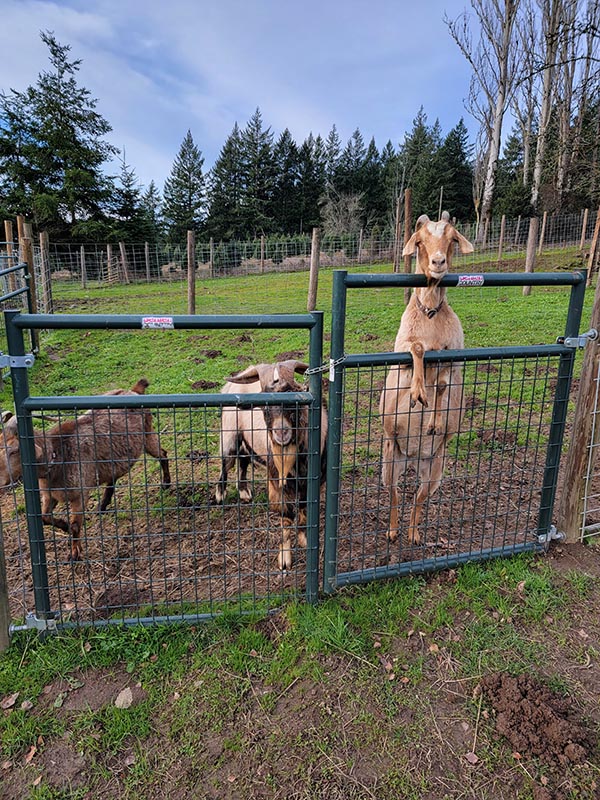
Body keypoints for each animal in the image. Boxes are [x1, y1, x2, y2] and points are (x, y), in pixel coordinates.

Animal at [0, 378, 171, 560]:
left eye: (14, 450)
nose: (1, 480)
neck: (58, 455)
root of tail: (135, 390)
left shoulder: (80, 494)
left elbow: (76, 525)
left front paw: (75, 552)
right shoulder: (49, 495)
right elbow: (45, 518)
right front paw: (64, 526)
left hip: (147, 435)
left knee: (163, 454)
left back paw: (166, 484)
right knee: (113, 477)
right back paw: (102, 505)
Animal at [214, 360, 327, 570]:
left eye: (295, 399)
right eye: (263, 405)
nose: (281, 432)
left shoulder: (312, 482)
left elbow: (303, 511)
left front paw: (304, 539)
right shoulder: (277, 484)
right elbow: (286, 518)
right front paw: (284, 560)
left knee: (243, 461)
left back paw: (244, 492)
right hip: (229, 436)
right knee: (227, 464)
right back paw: (220, 495)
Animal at [379, 212, 473, 546]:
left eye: (452, 238)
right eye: (419, 241)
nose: (438, 262)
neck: (431, 312)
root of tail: (413, 457)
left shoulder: (455, 356)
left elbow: (444, 381)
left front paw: (433, 420)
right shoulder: (403, 350)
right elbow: (418, 350)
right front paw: (418, 393)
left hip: (435, 468)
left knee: (419, 496)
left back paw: (414, 533)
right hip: (390, 459)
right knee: (394, 493)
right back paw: (393, 531)